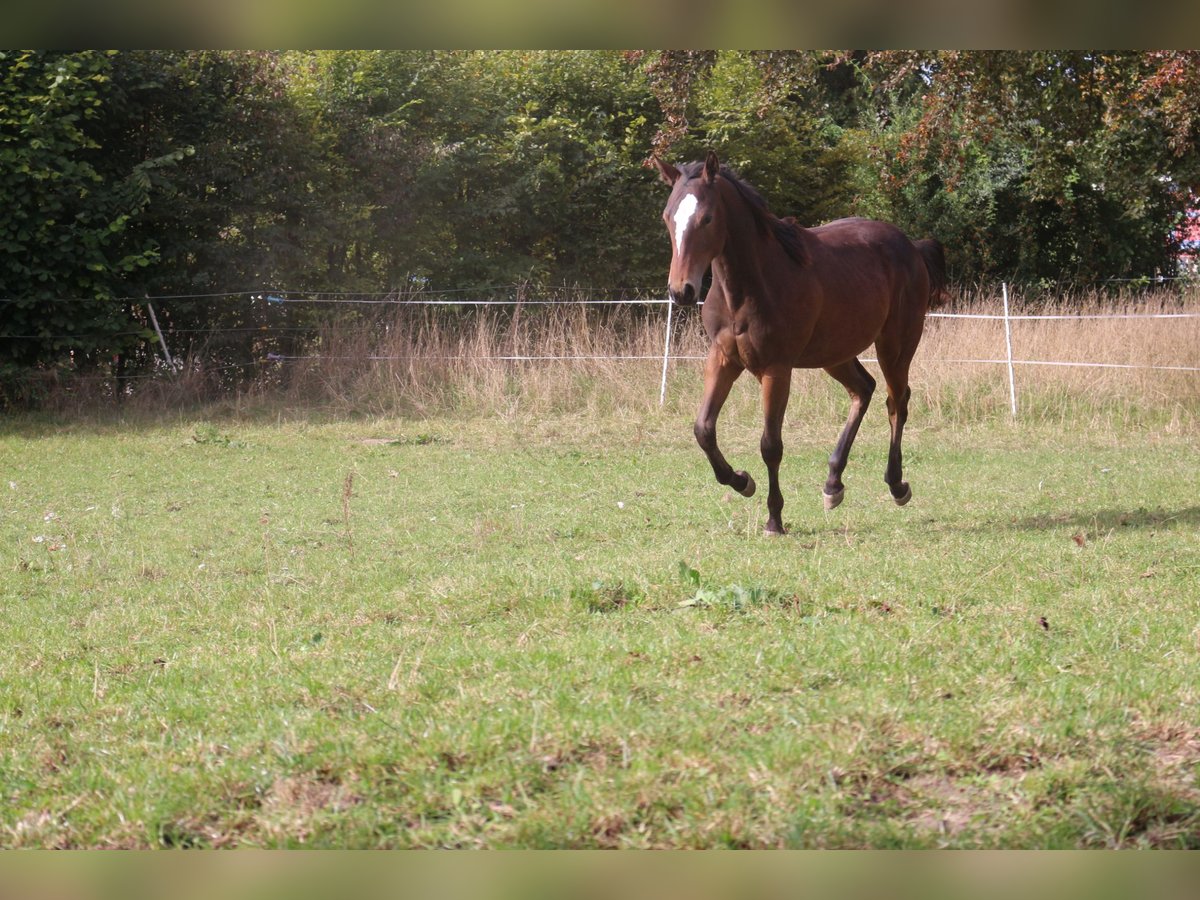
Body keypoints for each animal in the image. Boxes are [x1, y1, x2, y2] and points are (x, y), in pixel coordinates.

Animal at [652, 152, 940, 540]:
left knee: (897, 402)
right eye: (668, 216)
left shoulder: (777, 369)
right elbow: (704, 430)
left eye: (707, 217)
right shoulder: (724, 359)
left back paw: (896, 485)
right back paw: (833, 484)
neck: (749, 286)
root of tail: (911, 247)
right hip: (836, 353)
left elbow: (770, 445)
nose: (681, 291)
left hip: (895, 346)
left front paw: (774, 519)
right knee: (863, 390)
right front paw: (741, 481)